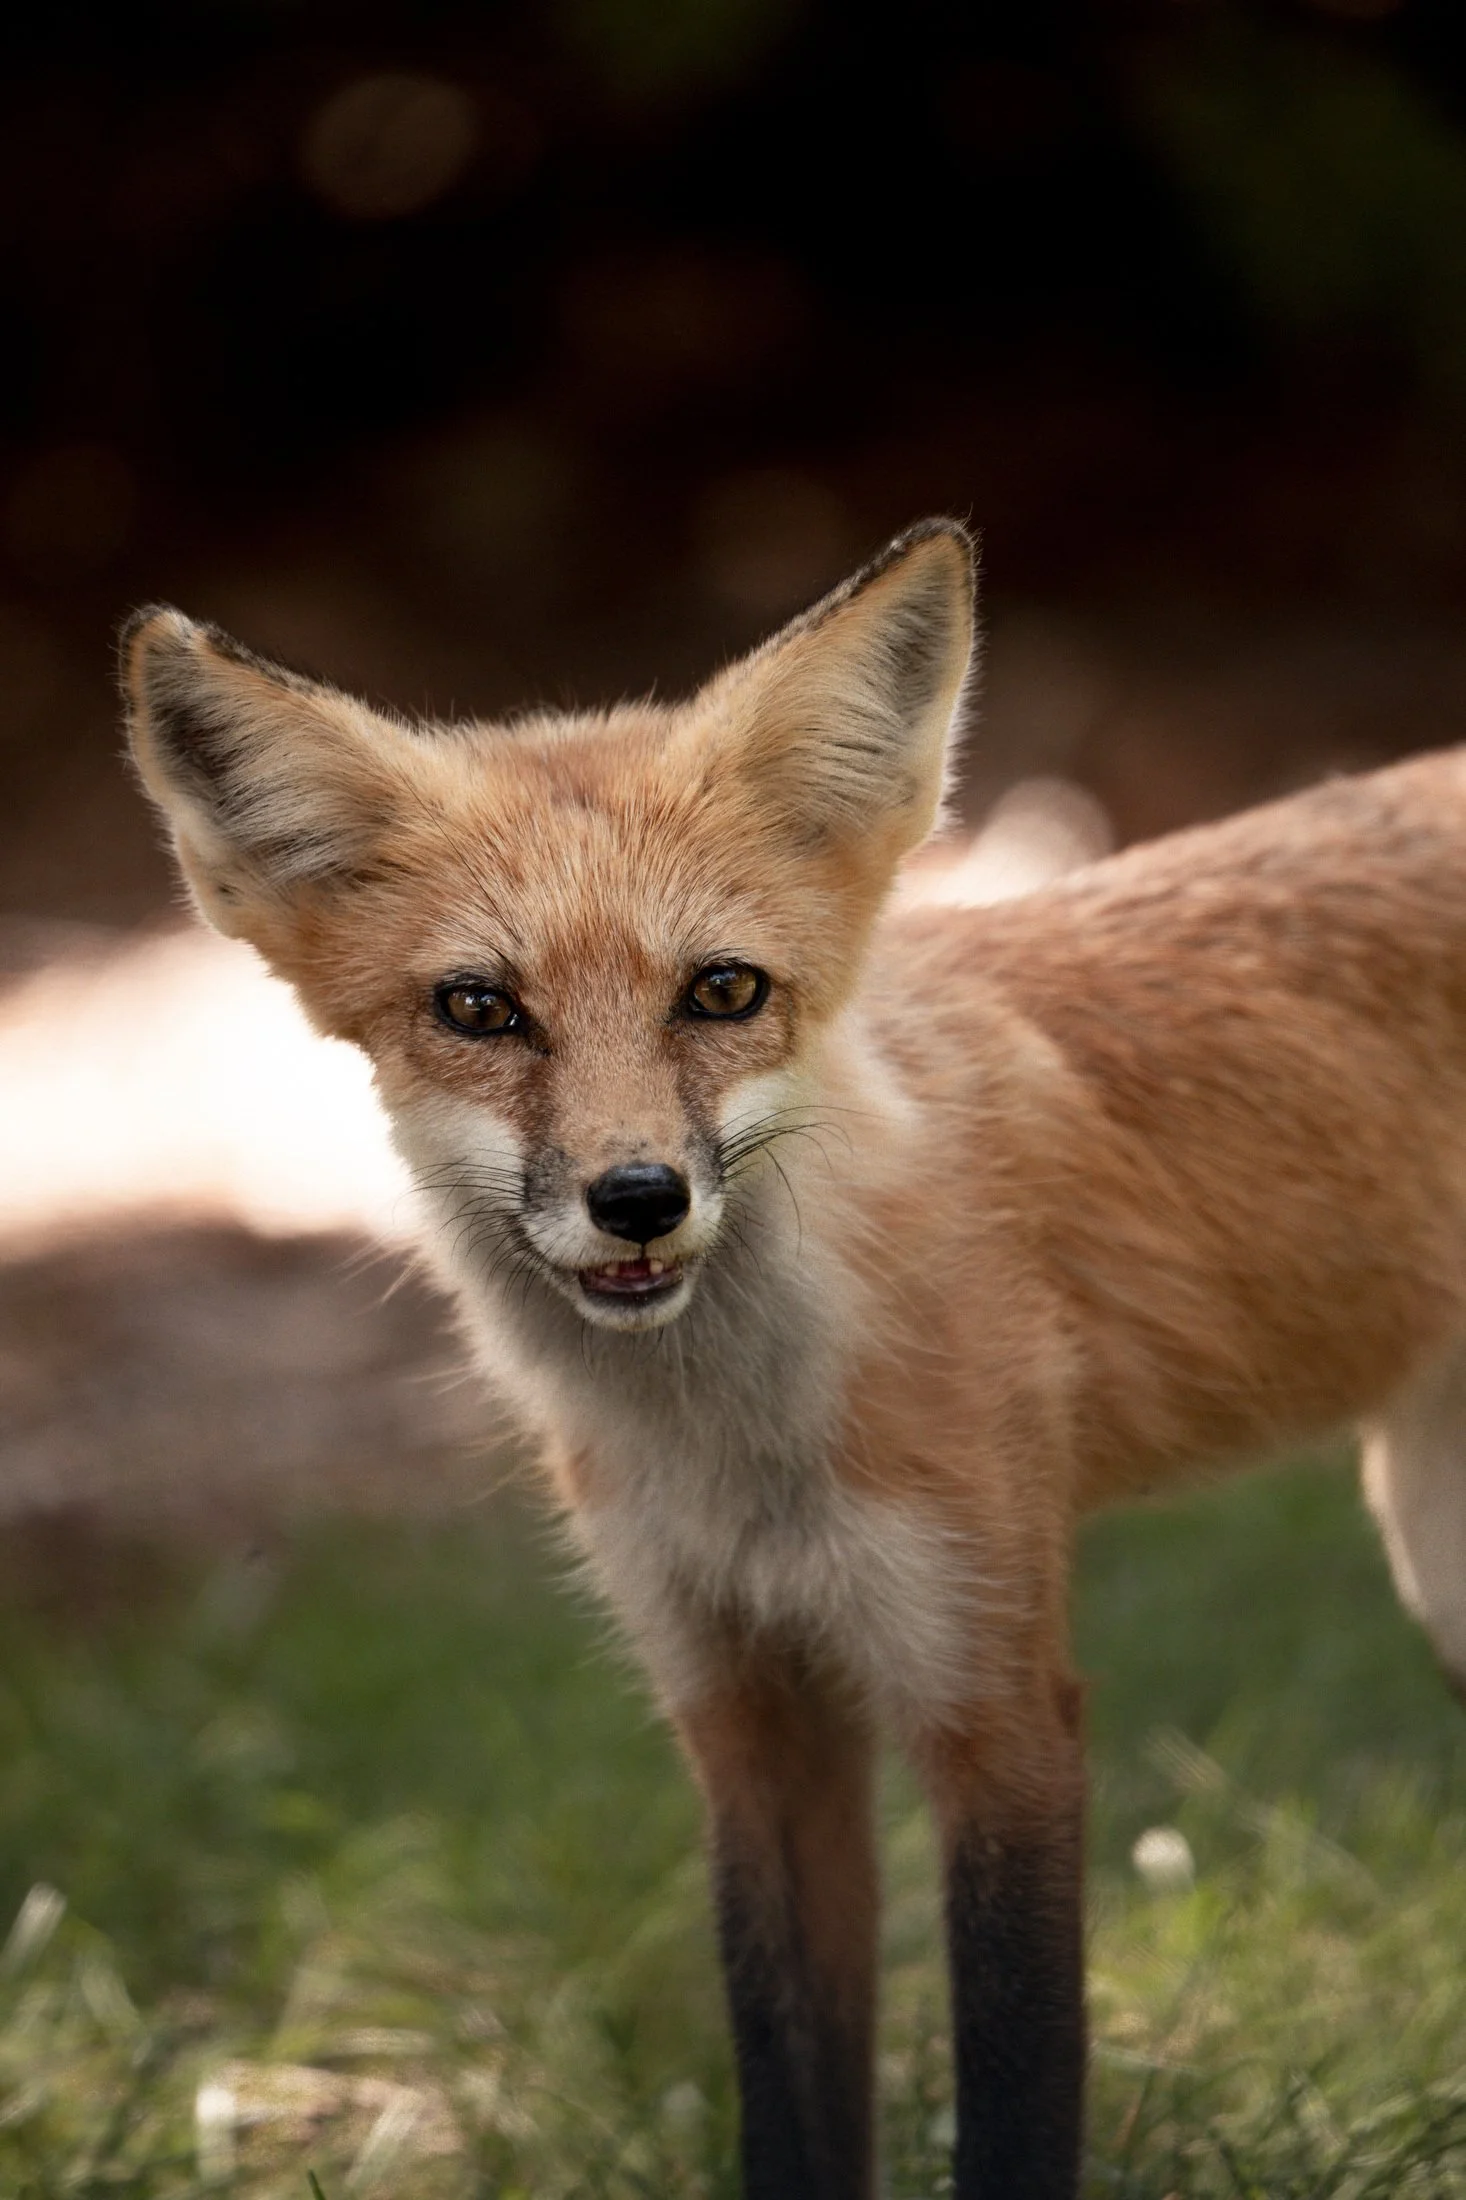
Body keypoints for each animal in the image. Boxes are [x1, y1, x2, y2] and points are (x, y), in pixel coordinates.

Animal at [119, 518, 1466, 2198]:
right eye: (480, 1009)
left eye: (723, 989)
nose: (637, 1196)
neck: (743, 1453)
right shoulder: (742, 1707)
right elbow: (790, 2084)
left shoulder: (993, 1697)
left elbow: (1014, 2095)